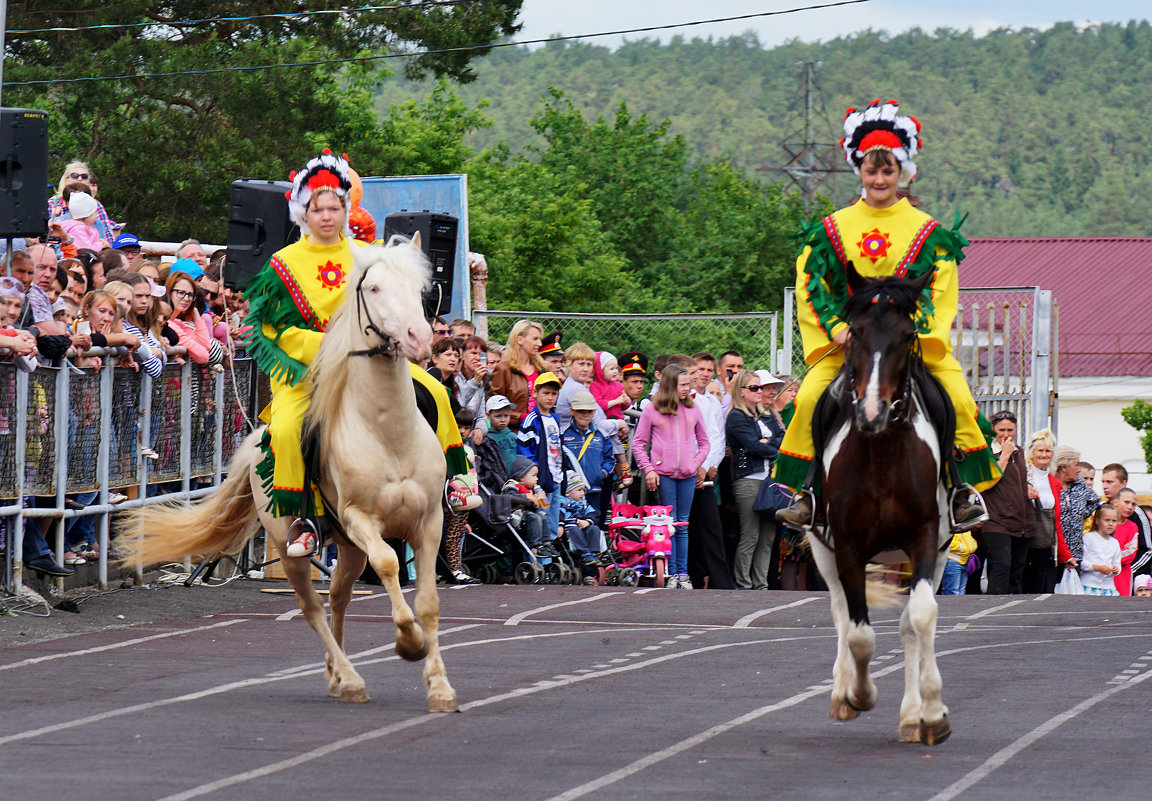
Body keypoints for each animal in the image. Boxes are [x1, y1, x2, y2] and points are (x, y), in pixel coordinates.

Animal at [120, 238, 453, 714]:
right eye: (373, 288)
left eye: (421, 289)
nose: (419, 338)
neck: (387, 431)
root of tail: (258, 434)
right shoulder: (359, 518)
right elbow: (390, 563)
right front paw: (408, 642)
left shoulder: (428, 522)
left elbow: (427, 603)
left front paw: (440, 687)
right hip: (291, 542)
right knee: (312, 608)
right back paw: (349, 678)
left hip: (347, 547)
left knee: (338, 597)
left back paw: (339, 675)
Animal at [806, 262, 949, 746]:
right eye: (855, 331)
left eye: (907, 335)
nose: (872, 412)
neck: (883, 453)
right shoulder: (847, 545)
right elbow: (858, 633)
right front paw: (858, 695)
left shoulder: (925, 537)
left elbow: (921, 617)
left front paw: (931, 714)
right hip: (822, 547)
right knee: (840, 614)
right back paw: (841, 693)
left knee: (909, 624)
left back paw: (911, 715)